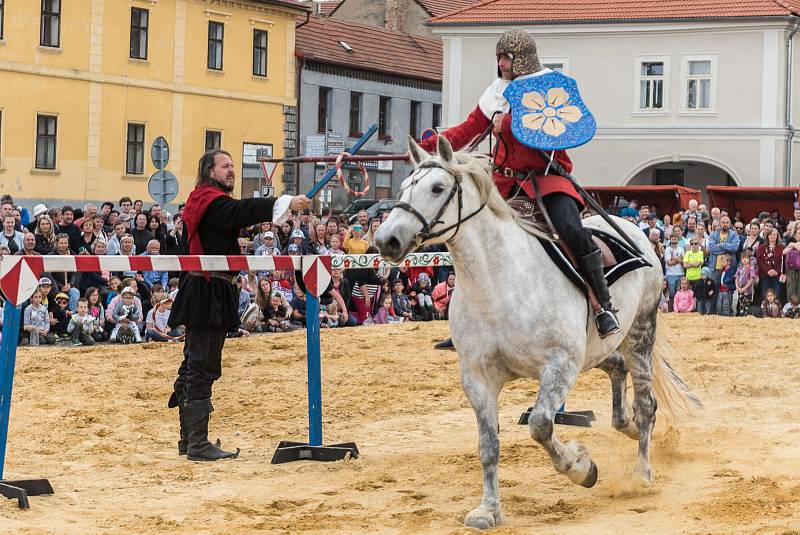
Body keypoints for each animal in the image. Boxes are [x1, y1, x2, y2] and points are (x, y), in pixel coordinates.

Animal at [372, 136, 696, 528]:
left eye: (437, 188)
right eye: (405, 186)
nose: (386, 239)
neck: (496, 281)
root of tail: (635, 229)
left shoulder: (560, 365)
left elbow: (541, 424)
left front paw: (580, 467)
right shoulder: (477, 378)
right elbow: (488, 446)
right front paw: (489, 509)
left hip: (640, 331)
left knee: (646, 403)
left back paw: (641, 474)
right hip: (595, 350)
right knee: (617, 369)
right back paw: (627, 425)